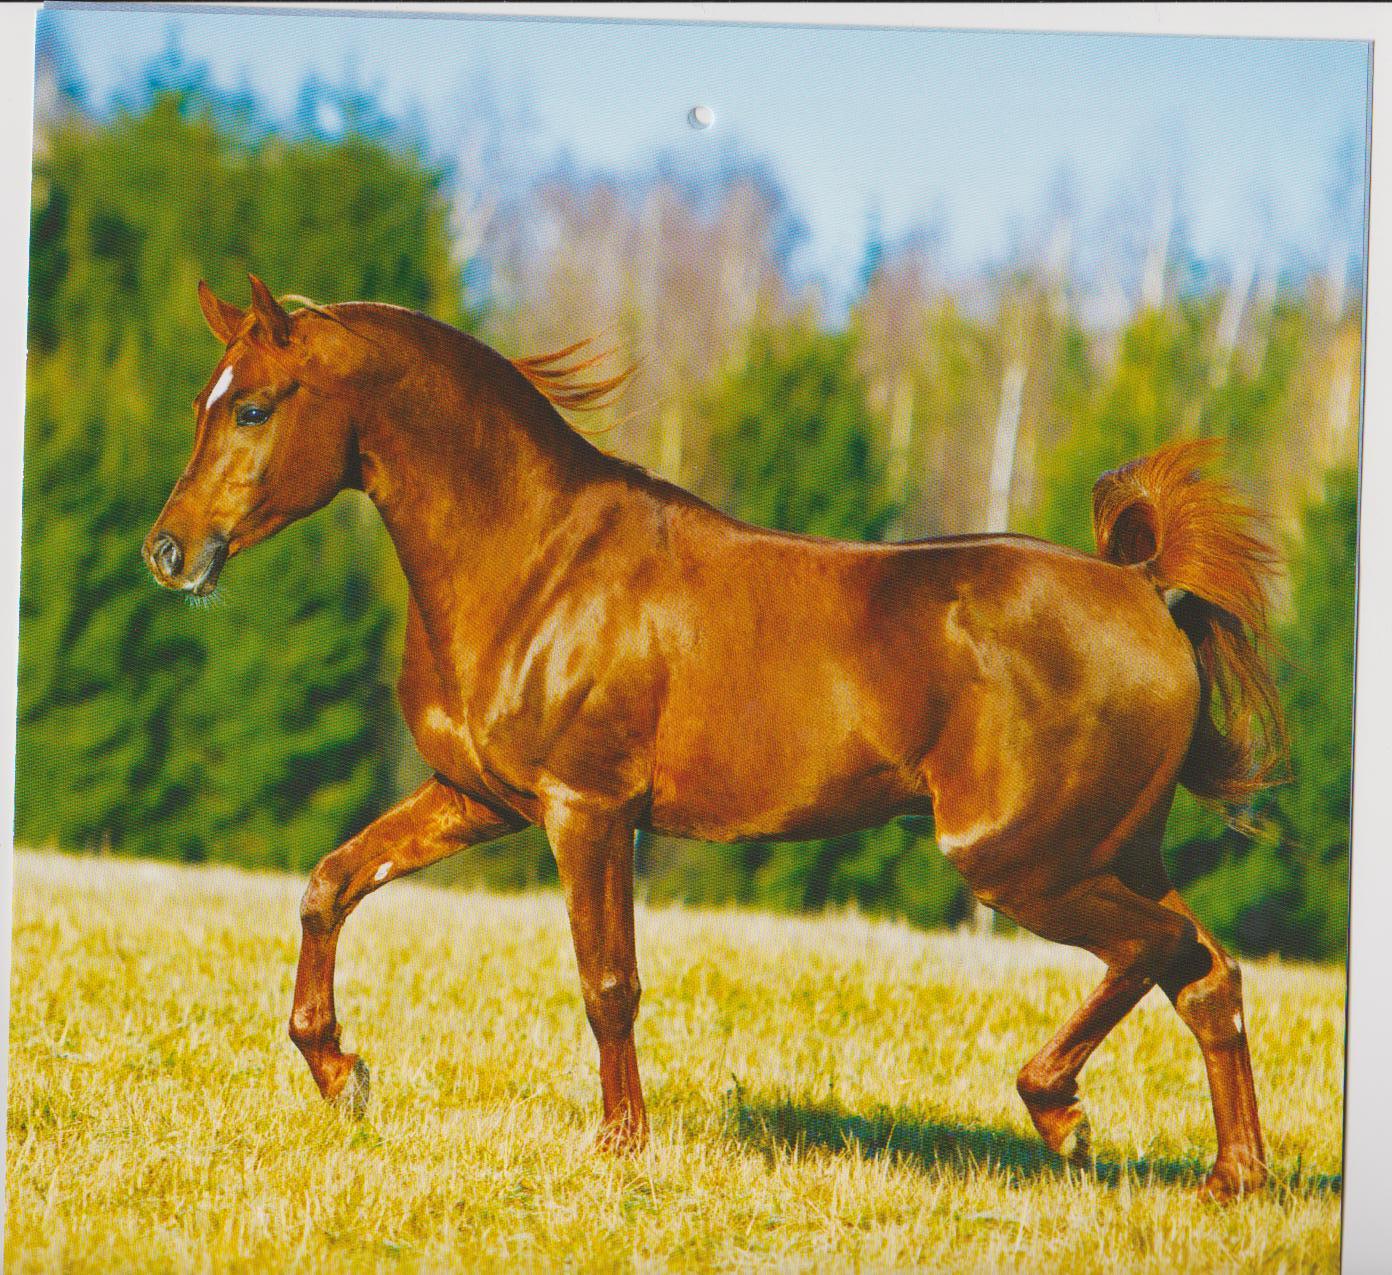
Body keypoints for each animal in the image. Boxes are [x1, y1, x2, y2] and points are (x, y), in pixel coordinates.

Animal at [146, 274, 1286, 1202]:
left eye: (253, 405)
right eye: (206, 400)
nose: (170, 552)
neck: (534, 562)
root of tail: (1144, 591)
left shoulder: (587, 808)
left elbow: (608, 981)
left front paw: (620, 1145)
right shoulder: (477, 798)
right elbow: (330, 884)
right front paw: (342, 1074)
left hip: (1021, 861)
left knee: (1160, 949)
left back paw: (1063, 1116)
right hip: (1110, 850)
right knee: (1209, 974)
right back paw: (1233, 1177)